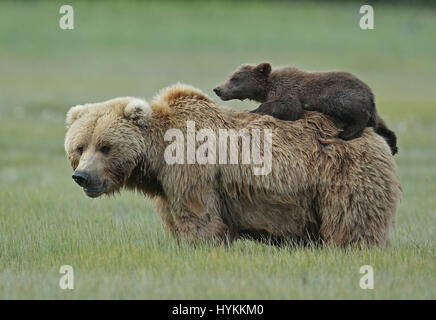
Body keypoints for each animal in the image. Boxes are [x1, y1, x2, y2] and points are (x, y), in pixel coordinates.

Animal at [64, 84, 402, 246]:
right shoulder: (165, 188)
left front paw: (202, 245)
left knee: (353, 222)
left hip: (343, 174)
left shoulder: (192, 171)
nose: (82, 176)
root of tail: (373, 134)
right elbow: (175, 220)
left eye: (105, 146)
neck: (157, 158)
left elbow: (200, 219)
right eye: (80, 147)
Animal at [215, 62, 398, 155]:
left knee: (354, 112)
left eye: (235, 78)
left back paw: (345, 133)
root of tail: (370, 93)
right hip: (371, 107)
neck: (266, 88)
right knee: (382, 125)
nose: (217, 89)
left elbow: (288, 108)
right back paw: (393, 144)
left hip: (338, 94)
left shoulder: (289, 91)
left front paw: (253, 111)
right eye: (230, 76)